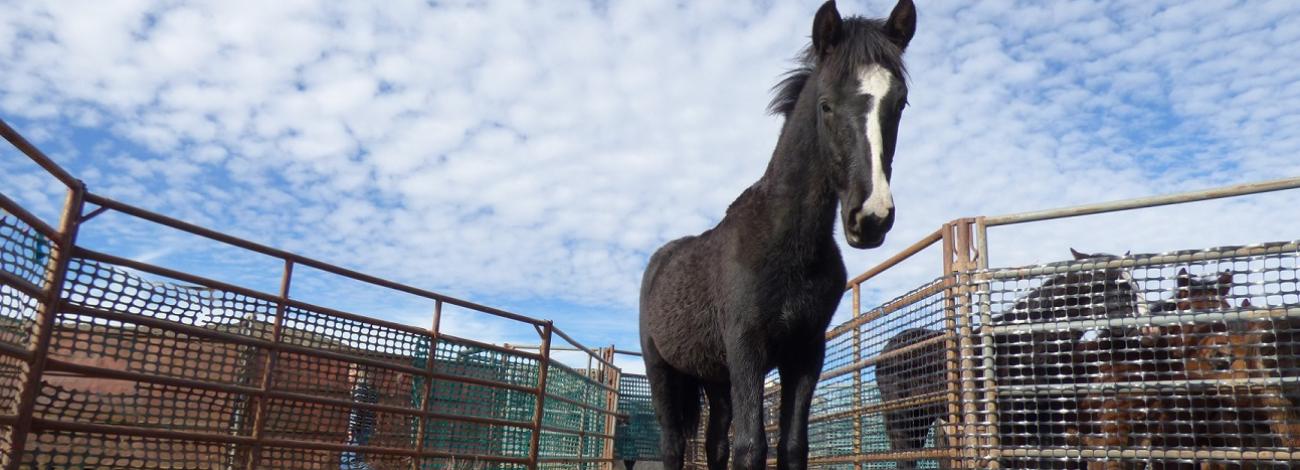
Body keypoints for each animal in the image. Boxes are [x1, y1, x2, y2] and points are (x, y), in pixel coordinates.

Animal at [637, 1, 915, 467]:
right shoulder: (747, 349)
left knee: (714, 444)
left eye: (900, 103)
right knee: (673, 445)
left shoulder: (805, 355)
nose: (871, 216)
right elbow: (752, 447)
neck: (786, 242)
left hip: (716, 378)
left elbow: (792, 445)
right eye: (825, 105)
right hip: (662, 371)